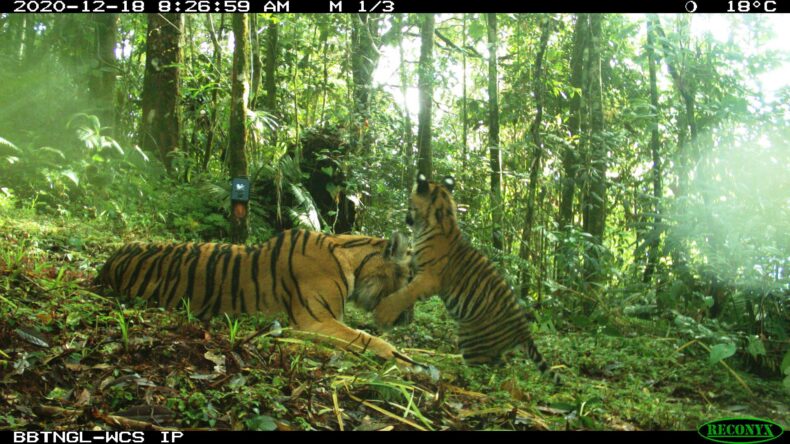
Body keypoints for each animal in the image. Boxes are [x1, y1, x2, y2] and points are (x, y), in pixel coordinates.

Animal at [98, 229, 415, 365]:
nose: (408, 320)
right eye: (411, 280)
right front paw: (404, 360)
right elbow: (366, 338)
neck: (353, 260)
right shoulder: (313, 321)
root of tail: (110, 260)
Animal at [373, 174, 562, 384]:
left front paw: (384, 312)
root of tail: (524, 329)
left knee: (483, 374)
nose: (406, 219)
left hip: (472, 341)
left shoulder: (428, 279)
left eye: (409, 201)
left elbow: (406, 293)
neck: (441, 217)